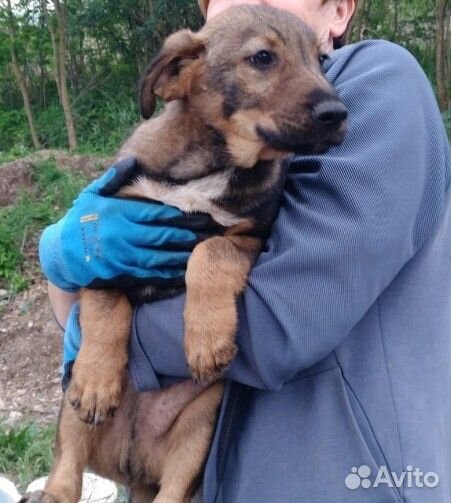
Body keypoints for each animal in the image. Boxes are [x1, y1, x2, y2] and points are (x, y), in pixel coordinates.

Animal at [21, 5, 348, 503]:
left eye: (322, 60)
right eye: (262, 58)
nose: (339, 113)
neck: (212, 163)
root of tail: (132, 466)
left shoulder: (253, 236)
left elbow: (210, 251)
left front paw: (206, 337)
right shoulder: (105, 231)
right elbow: (104, 302)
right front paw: (98, 375)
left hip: (200, 424)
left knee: (172, 490)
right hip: (69, 412)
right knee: (66, 472)